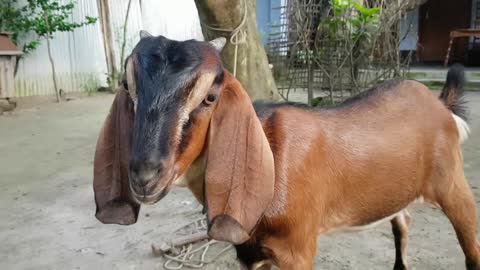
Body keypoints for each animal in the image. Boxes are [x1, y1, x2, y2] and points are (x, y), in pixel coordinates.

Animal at [94, 34, 476, 268]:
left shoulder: (298, 249)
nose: (145, 176)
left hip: (453, 183)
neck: (270, 160)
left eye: (210, 97)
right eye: (128, 87)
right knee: (403, 222)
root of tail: (440, 104)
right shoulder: (248, 251)